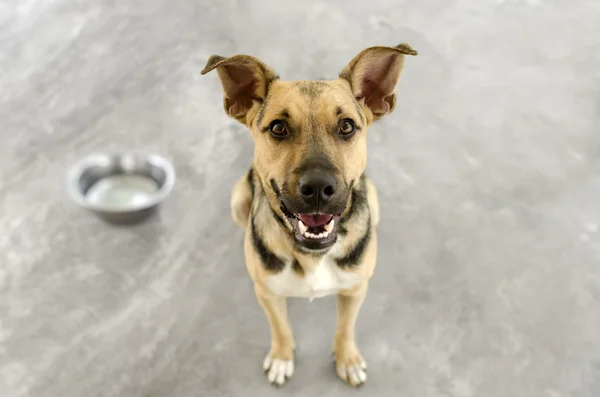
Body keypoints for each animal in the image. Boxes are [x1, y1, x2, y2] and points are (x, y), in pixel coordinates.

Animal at [202, 43, 418, 386]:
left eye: (347, 126)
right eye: (278, 128)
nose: (318, 188)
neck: (313, 254)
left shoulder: (356, 289)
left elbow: (346, 327)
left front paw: (347, 359)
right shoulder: (268, 294)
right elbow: (280, 327)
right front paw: (281, 357)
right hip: (237, 199)